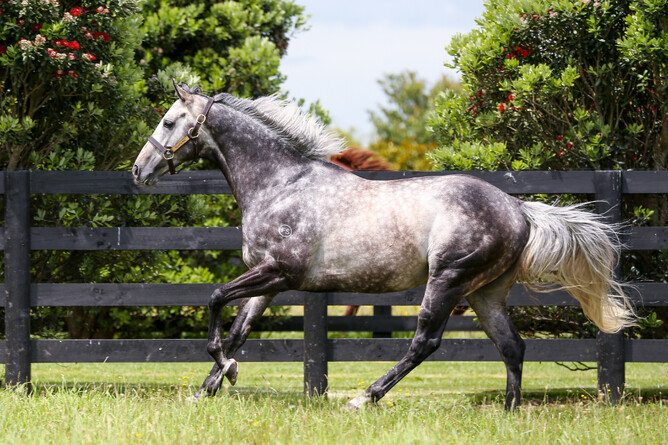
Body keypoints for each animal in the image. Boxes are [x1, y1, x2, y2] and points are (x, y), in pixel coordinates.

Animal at [132, 82, 636, 410]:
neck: (281, 184)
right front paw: (206, 389)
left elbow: (215, 300)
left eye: (169, 120)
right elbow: (237, 330)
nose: (138, 170)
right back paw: (510, 411)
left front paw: (226, 373)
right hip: (485, 292)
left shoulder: (280, 272)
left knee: (425, 342)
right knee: (512, 346)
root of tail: (518, 209)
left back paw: (364, 397)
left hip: (448, 280)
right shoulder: (269, 281)